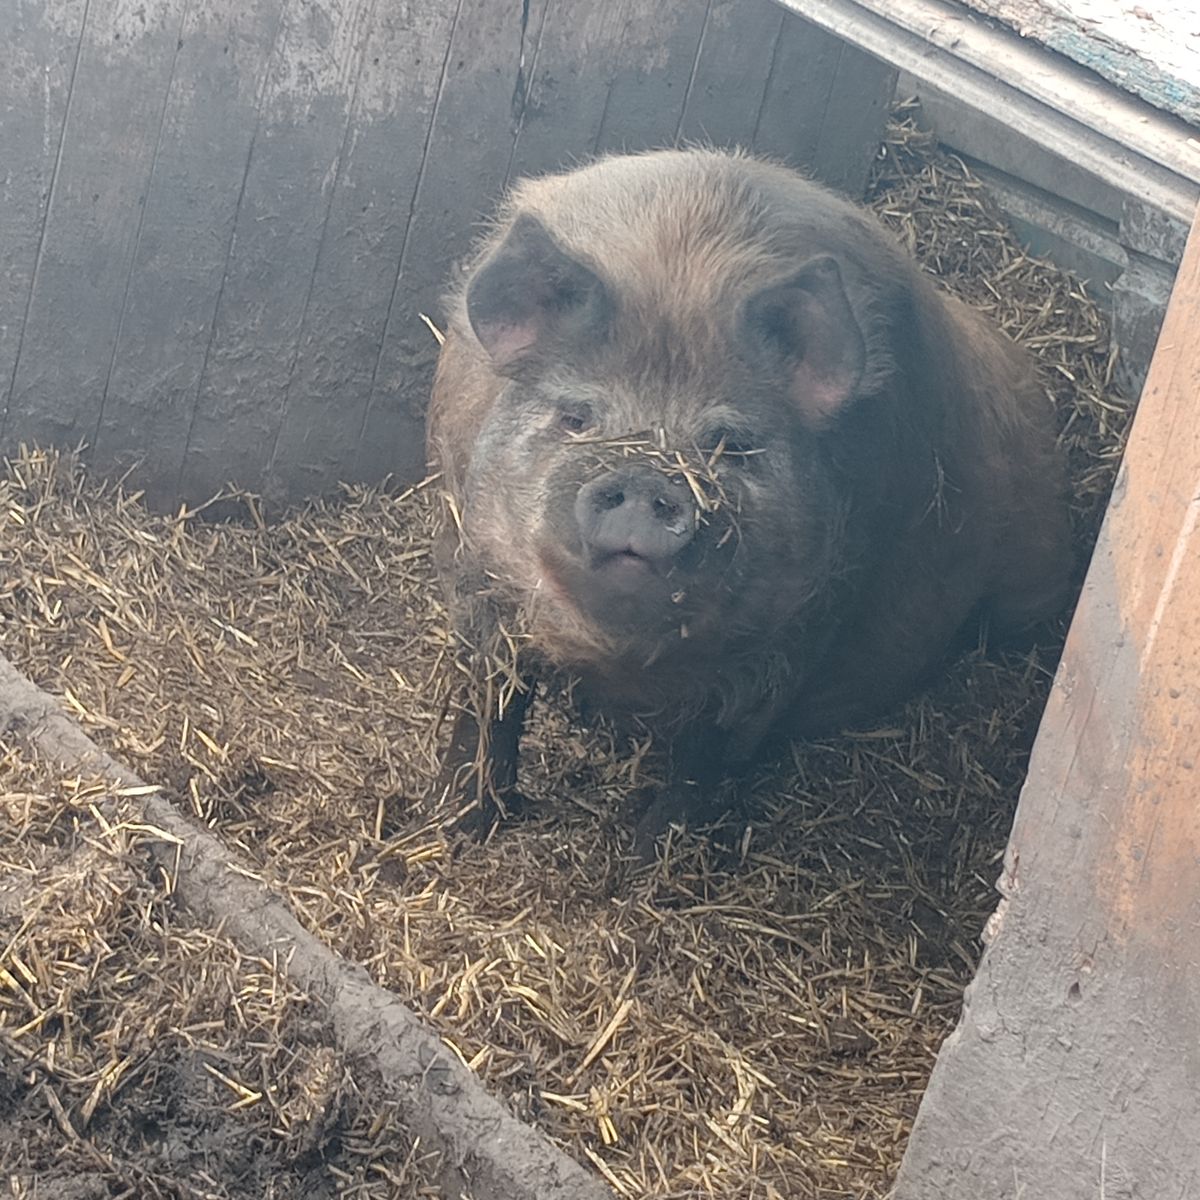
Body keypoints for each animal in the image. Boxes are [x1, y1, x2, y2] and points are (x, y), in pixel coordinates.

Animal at [426, 148, 1071, 857]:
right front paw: (454, 825)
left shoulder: (801, 629)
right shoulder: (472, 570)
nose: (649, 479)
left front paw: (651, 860)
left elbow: (708, 754)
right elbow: (488, 707)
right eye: (575, 417)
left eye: (729, 444)